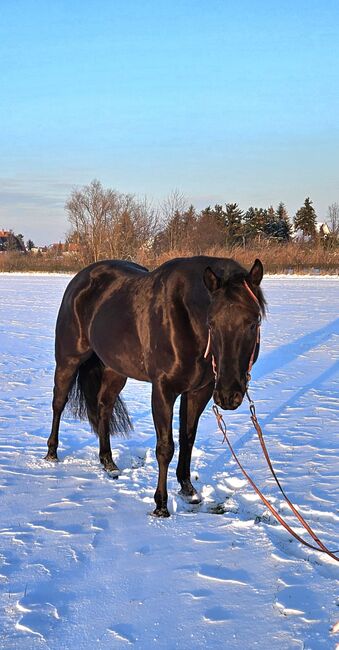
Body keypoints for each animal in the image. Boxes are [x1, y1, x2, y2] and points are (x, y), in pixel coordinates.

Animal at [45, 256, 266, 512]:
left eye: (254, 322)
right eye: (211, 323)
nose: (228, 396)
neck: (188, 322)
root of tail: (80, 279)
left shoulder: (198, 392)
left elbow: (187, 439)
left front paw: (188, 490)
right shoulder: (163, 390)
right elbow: (165, 447)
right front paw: (161, 505)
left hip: (115, 370)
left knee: (103, 408)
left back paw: (108, 462)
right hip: (68, 360)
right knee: (59, 402)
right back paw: (51, 454)